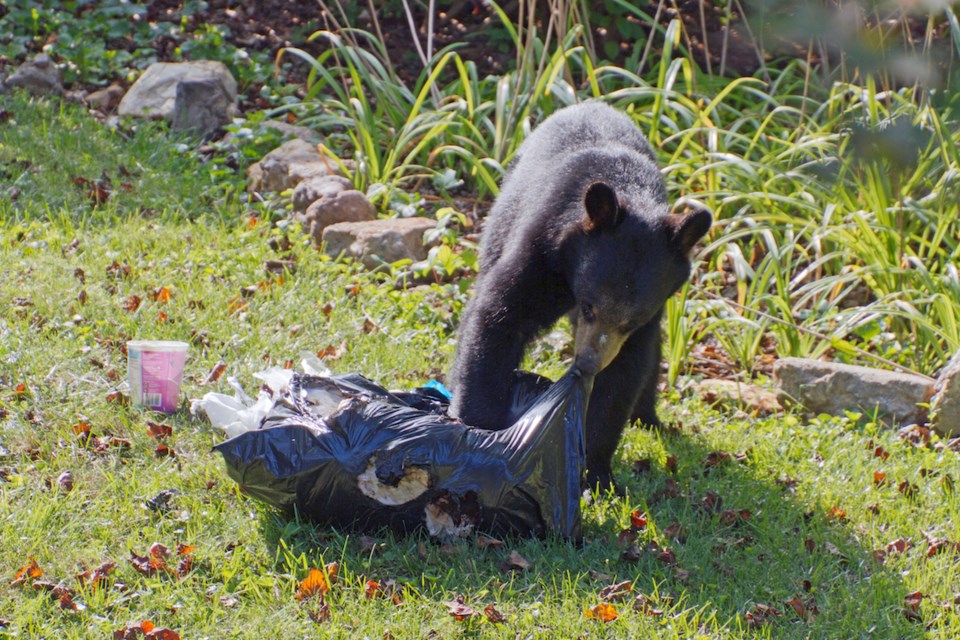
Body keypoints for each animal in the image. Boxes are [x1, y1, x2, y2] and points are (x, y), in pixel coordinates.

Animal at [446, 102, 708, 488]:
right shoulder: (542, 248)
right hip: (502, 217)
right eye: (589, 307)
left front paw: (596, 469)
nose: (587, 364)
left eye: (630, 322)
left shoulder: (650, 314)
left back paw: (649, 417)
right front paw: (480, 429)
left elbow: (625, 373)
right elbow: (500, 315)